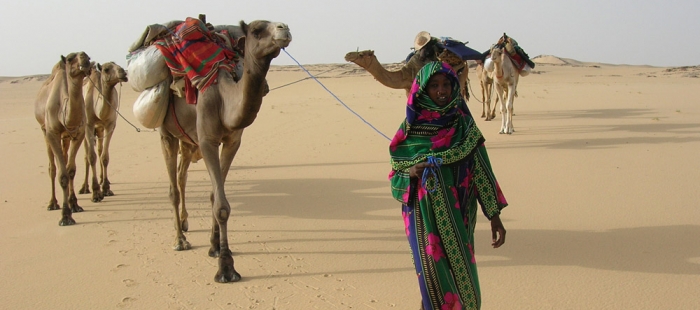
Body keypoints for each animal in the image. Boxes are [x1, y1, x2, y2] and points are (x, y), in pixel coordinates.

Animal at [33, 51, 91, 225]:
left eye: (88, 57)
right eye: (71, 59)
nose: (85, 58)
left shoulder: (79, 133)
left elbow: (71, 170)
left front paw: (74, 205)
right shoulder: (52, 133)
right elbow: (62, 174)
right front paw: (65, 215)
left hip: (65, 137)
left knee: (64, 160)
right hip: (44, 131)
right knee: (52, 167)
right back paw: (53, 203)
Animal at [79, 61, 129, 202]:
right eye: (106, 69)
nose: (123, 72)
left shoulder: (110, 125)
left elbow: (104, 156)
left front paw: (106, 189)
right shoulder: (88, 125)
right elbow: (91, 157)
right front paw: (96, 193)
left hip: (100, 129)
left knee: (100, 150)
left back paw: (102, 180)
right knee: (86, 154)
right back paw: (84, 187)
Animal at [155, 20, 290, 284]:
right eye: (256, 30)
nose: (284, 28)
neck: (224, 97)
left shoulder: (231, 141)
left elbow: (214, 195)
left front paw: (214, 246)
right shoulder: (207, 140)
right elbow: (222, 206)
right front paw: (226, 267)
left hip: (188, 141)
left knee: (182, 177)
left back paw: (185, 223)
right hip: (167, 133)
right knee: (173, 188)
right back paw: (180, 240)